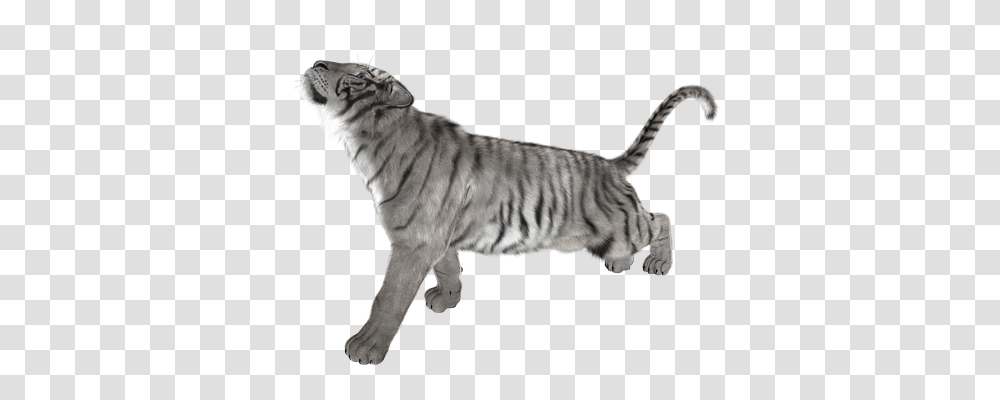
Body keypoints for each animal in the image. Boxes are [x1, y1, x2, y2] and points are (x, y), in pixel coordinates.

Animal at [301, 60, 716, 365]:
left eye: (358, 75)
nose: (317, 62)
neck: (368, 137)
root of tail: (609, 165)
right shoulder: (436, 237)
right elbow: (449, 268)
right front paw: (447, 299)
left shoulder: (413, 243)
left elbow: (388, 297)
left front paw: (365, 348)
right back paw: (620, 262)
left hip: (625, 224)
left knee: (660, 219)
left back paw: (658, 263)